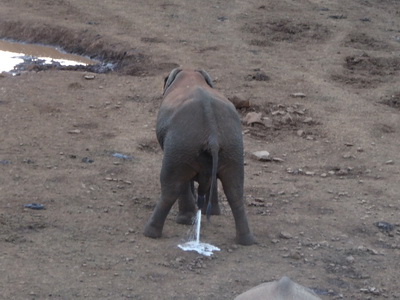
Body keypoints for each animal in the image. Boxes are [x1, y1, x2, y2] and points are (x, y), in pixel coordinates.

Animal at [144, 68, 255, 246]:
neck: (190, 73)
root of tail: (212, 134)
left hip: (182, 145)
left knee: (172, 185)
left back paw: (153, 232)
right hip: (233, 146)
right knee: (235, 190)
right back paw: (246, 241)